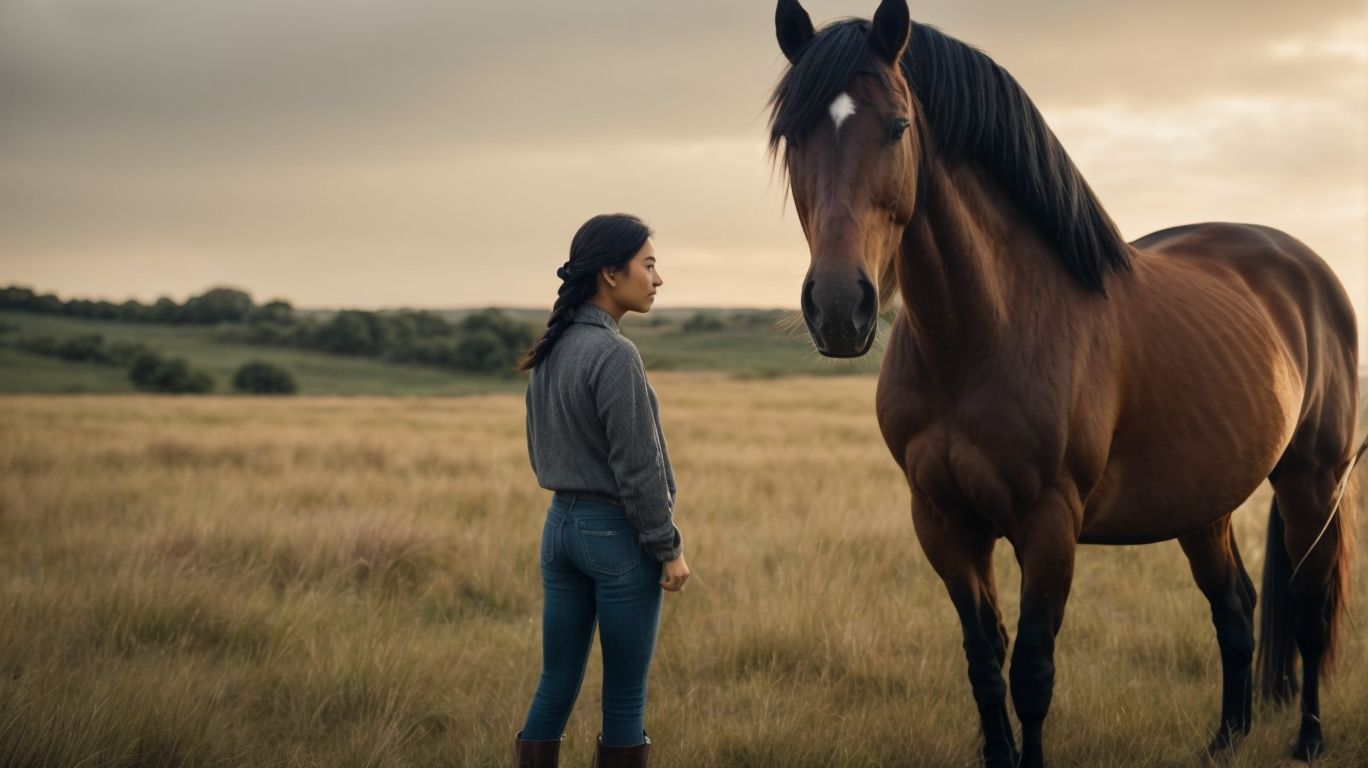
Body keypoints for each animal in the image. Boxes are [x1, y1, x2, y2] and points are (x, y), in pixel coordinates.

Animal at [767, 1, 1362, 766]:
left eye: (897, 126)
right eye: (791, 135)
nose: (840, 307)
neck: (983, 335)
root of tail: (1306, 269)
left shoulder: (1049, 524)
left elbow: (1032, 671)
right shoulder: (942, 521)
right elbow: (984, 660)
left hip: (1311, 481)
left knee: (1311, 612)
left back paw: (1309, 739)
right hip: (1205, 504)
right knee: (1234, 607)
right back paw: (1226, 738)